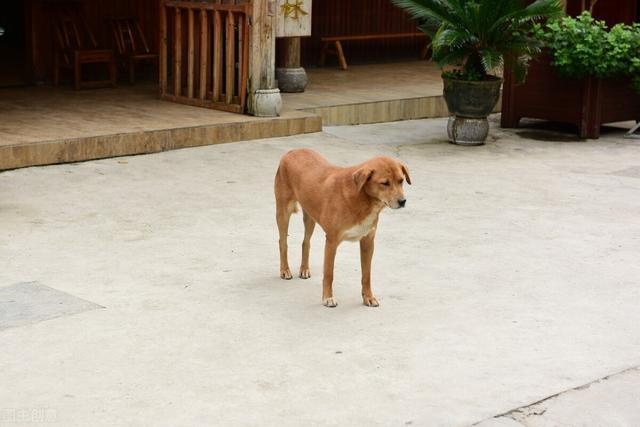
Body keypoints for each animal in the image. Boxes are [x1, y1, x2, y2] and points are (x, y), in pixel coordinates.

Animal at [274, 148, 412, 308]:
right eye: (384, 183)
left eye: (401, 181)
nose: (403, 201)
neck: (362, 198)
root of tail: (293, 150)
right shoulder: (331, 242)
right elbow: (329, 274)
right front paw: (328, 298)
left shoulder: (368, 242)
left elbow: (366, 275)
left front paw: (368, 297)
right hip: (283, 213)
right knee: (282, 242)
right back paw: (285, 270)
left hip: (310, 217)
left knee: (305, 242)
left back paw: (304, 269)